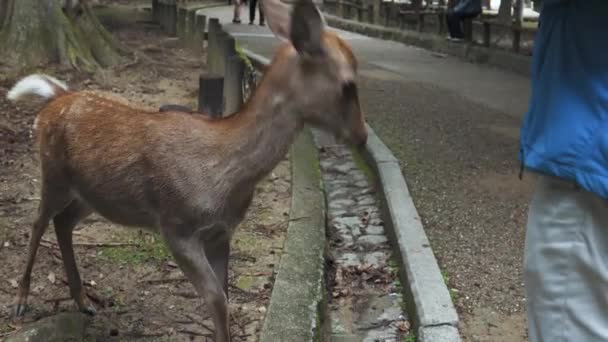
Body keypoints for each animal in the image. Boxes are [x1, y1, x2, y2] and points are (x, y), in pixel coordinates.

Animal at [4, 0, 366, 340]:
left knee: (63, 222)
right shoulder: (176, 226)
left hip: (91, 194)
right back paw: (21, 301)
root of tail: (55, 98)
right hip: (53, 172)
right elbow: (216, 300)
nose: (361, 135)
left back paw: (83, 302)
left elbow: (225, 296)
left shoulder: (222, 232)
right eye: (348, 84)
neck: (224, 176)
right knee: (38, 222)